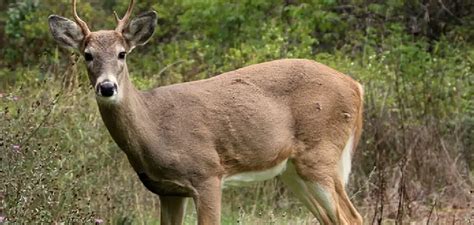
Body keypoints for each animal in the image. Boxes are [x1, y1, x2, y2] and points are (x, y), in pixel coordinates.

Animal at [48, 0, 364, 224]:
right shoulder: (168, 191)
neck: (155, 128)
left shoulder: (208, 174)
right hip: (291, 170)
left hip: (320, 154)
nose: (107, 87)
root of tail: (356, 86)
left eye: (122, 53)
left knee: (352, 217)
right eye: (87, 55)